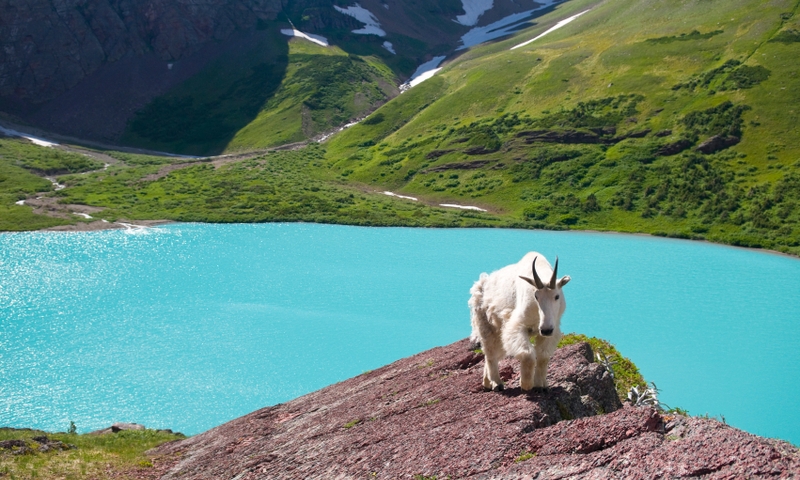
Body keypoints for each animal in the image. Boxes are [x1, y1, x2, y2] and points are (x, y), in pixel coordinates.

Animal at [468, 252, 570, 391]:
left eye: (557, 296)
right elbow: (528, 354)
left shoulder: (551, 329)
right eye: (536, 296)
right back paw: (496, 383)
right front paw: (526, 384)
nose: (545, 330)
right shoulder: (518, 325)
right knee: (490, 353)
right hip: (485, 322)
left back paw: (487, 382)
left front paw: (540, 385)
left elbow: (543, 355)